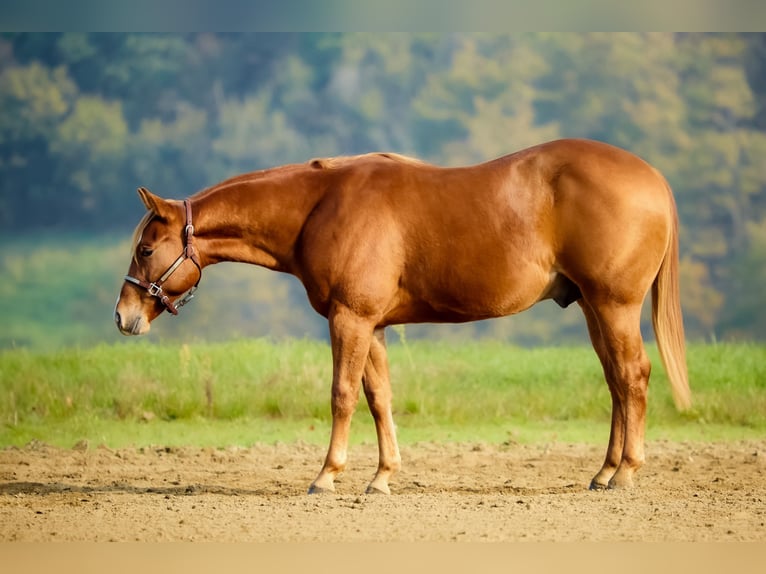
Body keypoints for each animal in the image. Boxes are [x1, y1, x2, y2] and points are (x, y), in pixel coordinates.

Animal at [115, 140, 696, 496]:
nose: (123, 316)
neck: (319, 206)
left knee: (633, 376)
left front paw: (326, 476)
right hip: (596, 309)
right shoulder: (371, 324)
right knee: (617, 383)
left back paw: (625, 473)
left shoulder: (349, 319)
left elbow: (342, 396)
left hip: (613, 306)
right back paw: (605, 471)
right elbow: (379, 398)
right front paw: (382, 476)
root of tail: (653, 178)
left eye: (145, 249)